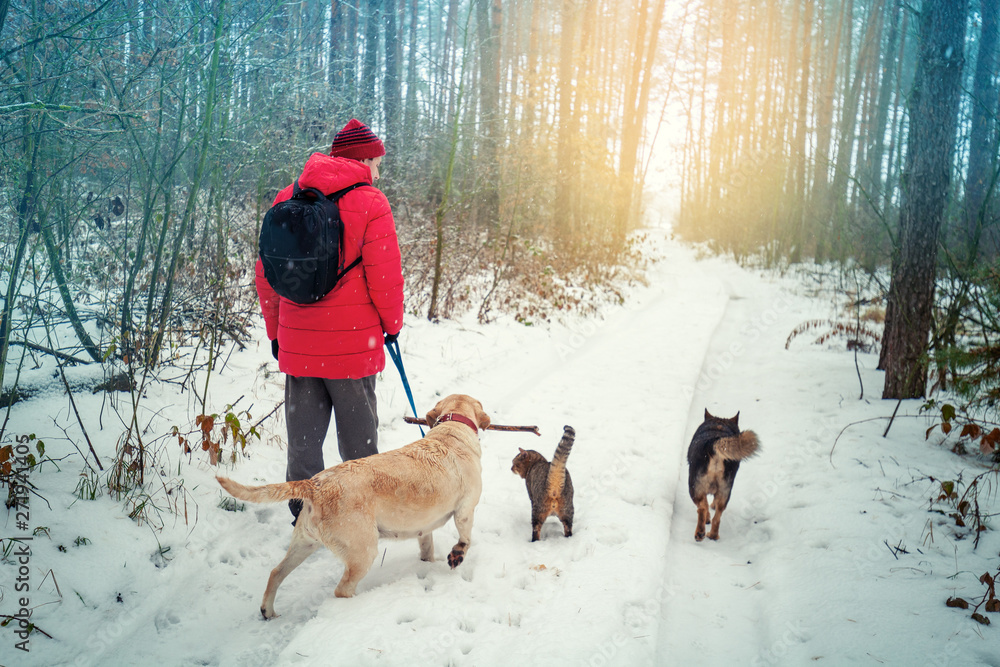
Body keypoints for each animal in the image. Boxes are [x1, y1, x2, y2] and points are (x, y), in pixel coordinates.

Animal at [217, 394, 490, 620]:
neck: (452, 431)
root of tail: (314, 484)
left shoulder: (425, 528)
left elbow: (427, 547)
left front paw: (427, 563)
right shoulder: (466, 510)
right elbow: (465, 538)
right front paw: (457, 555)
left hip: (304, 543)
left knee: (276, 573)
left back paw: (268, 611)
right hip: (363, 551)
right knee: (342, 590)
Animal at [688, 412, 756, 544]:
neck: (718, 426)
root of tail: (714, 443)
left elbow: (705, 504)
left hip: (694, 487)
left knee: (702, 509)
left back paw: (700, 533)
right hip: (725, 490)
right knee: (718, 516)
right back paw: (713, 535)